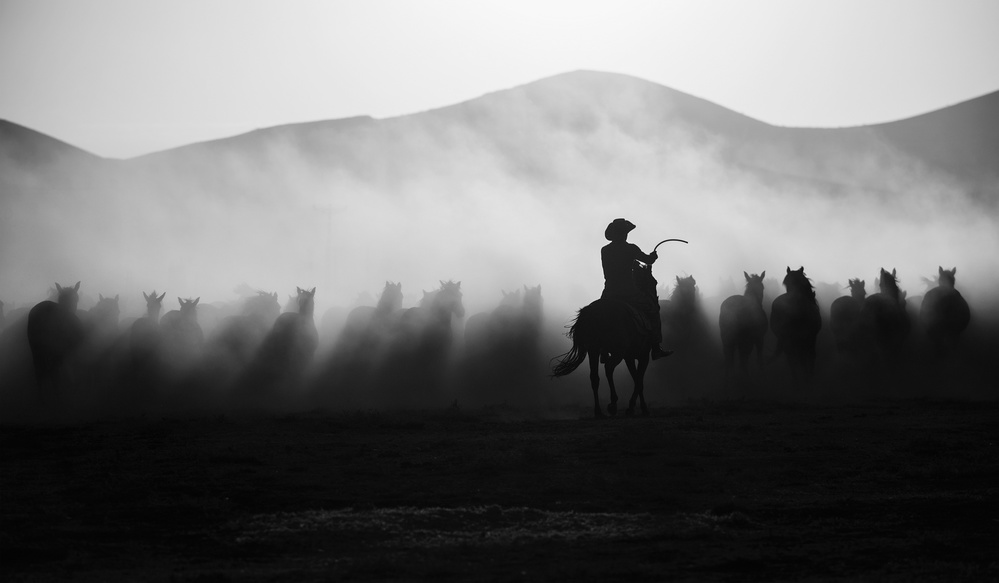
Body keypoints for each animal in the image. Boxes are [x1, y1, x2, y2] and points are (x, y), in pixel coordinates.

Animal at [552, 262, 660, 418]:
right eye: (654, 282)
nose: (657, 304)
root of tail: (592, 312)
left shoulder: (630, 356)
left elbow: (635, 378)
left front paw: (632, 407)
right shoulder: (643, 355)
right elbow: (639, 381)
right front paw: (642, 408)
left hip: (594, 349)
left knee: (594, 377)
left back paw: (599, 411)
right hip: (617, 351)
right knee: (608, 368)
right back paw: (613, 403)